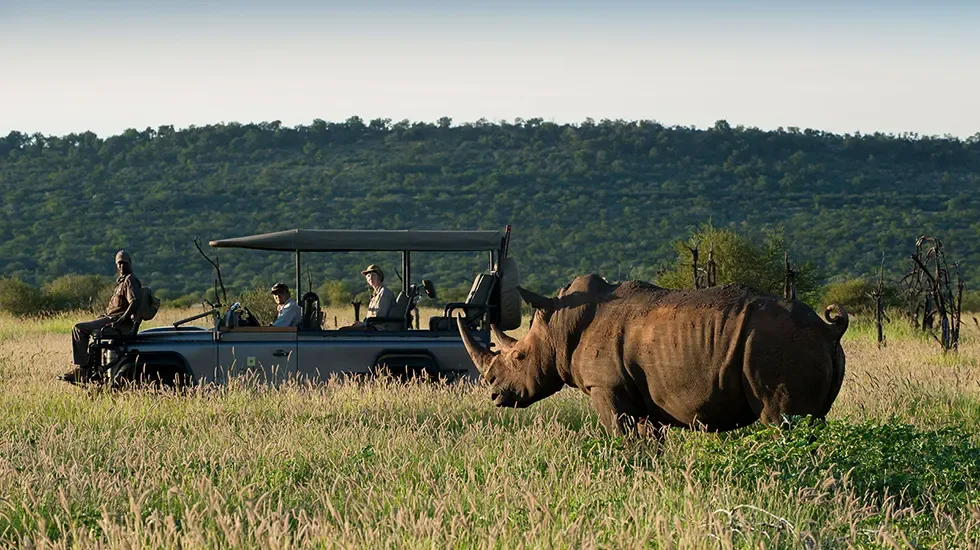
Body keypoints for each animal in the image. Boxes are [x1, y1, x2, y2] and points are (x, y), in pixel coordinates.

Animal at [457, 274, 848, 435]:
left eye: (519, 357)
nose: (494, 395)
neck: (559, 325)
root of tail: (830, 329)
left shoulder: (606, 386)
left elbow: (622, 435)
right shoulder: (639, 392)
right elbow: (648, 441)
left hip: (777, 345)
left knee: (780, 421)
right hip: (805, 345)